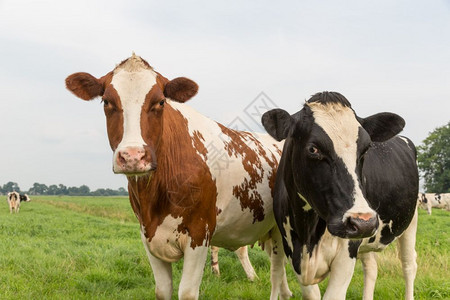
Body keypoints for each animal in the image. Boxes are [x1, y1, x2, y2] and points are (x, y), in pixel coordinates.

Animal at [66, 54, 292, 300]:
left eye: (160, 102)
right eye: (106, 101)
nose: (133, 156)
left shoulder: (199, 234)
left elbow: (187, 292)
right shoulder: (148, 235)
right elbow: (162, 290)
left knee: (278, 269)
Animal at [262, 92, 420, 300]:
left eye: (366, 149)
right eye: (313, 149)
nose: (362, 222)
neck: (307, 237)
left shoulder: (346, 254)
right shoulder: (291, 249)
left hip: (410, 220)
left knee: (409, 265)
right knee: (371, 267)